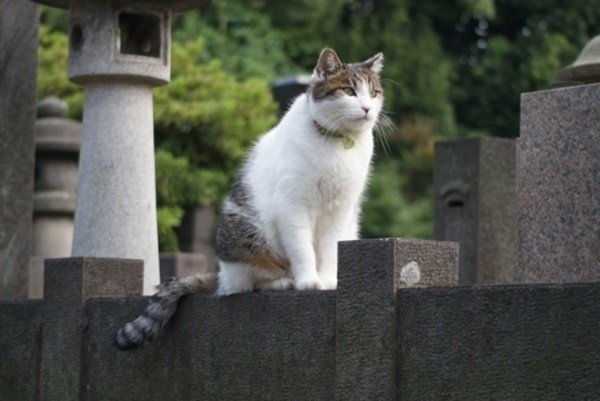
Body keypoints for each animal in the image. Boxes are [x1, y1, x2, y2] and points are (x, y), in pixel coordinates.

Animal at [113, 46, 384, 346]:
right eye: (348, 91)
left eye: (374, 93)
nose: (367, 108)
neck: (338, 144)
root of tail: (221, 274)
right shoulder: (293, 205)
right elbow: (302, 249)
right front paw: (308, 281)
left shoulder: (341, 209)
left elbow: (331, 248)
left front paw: (329, 280)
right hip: (246, 233)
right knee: (244, 283)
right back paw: (284, 281)